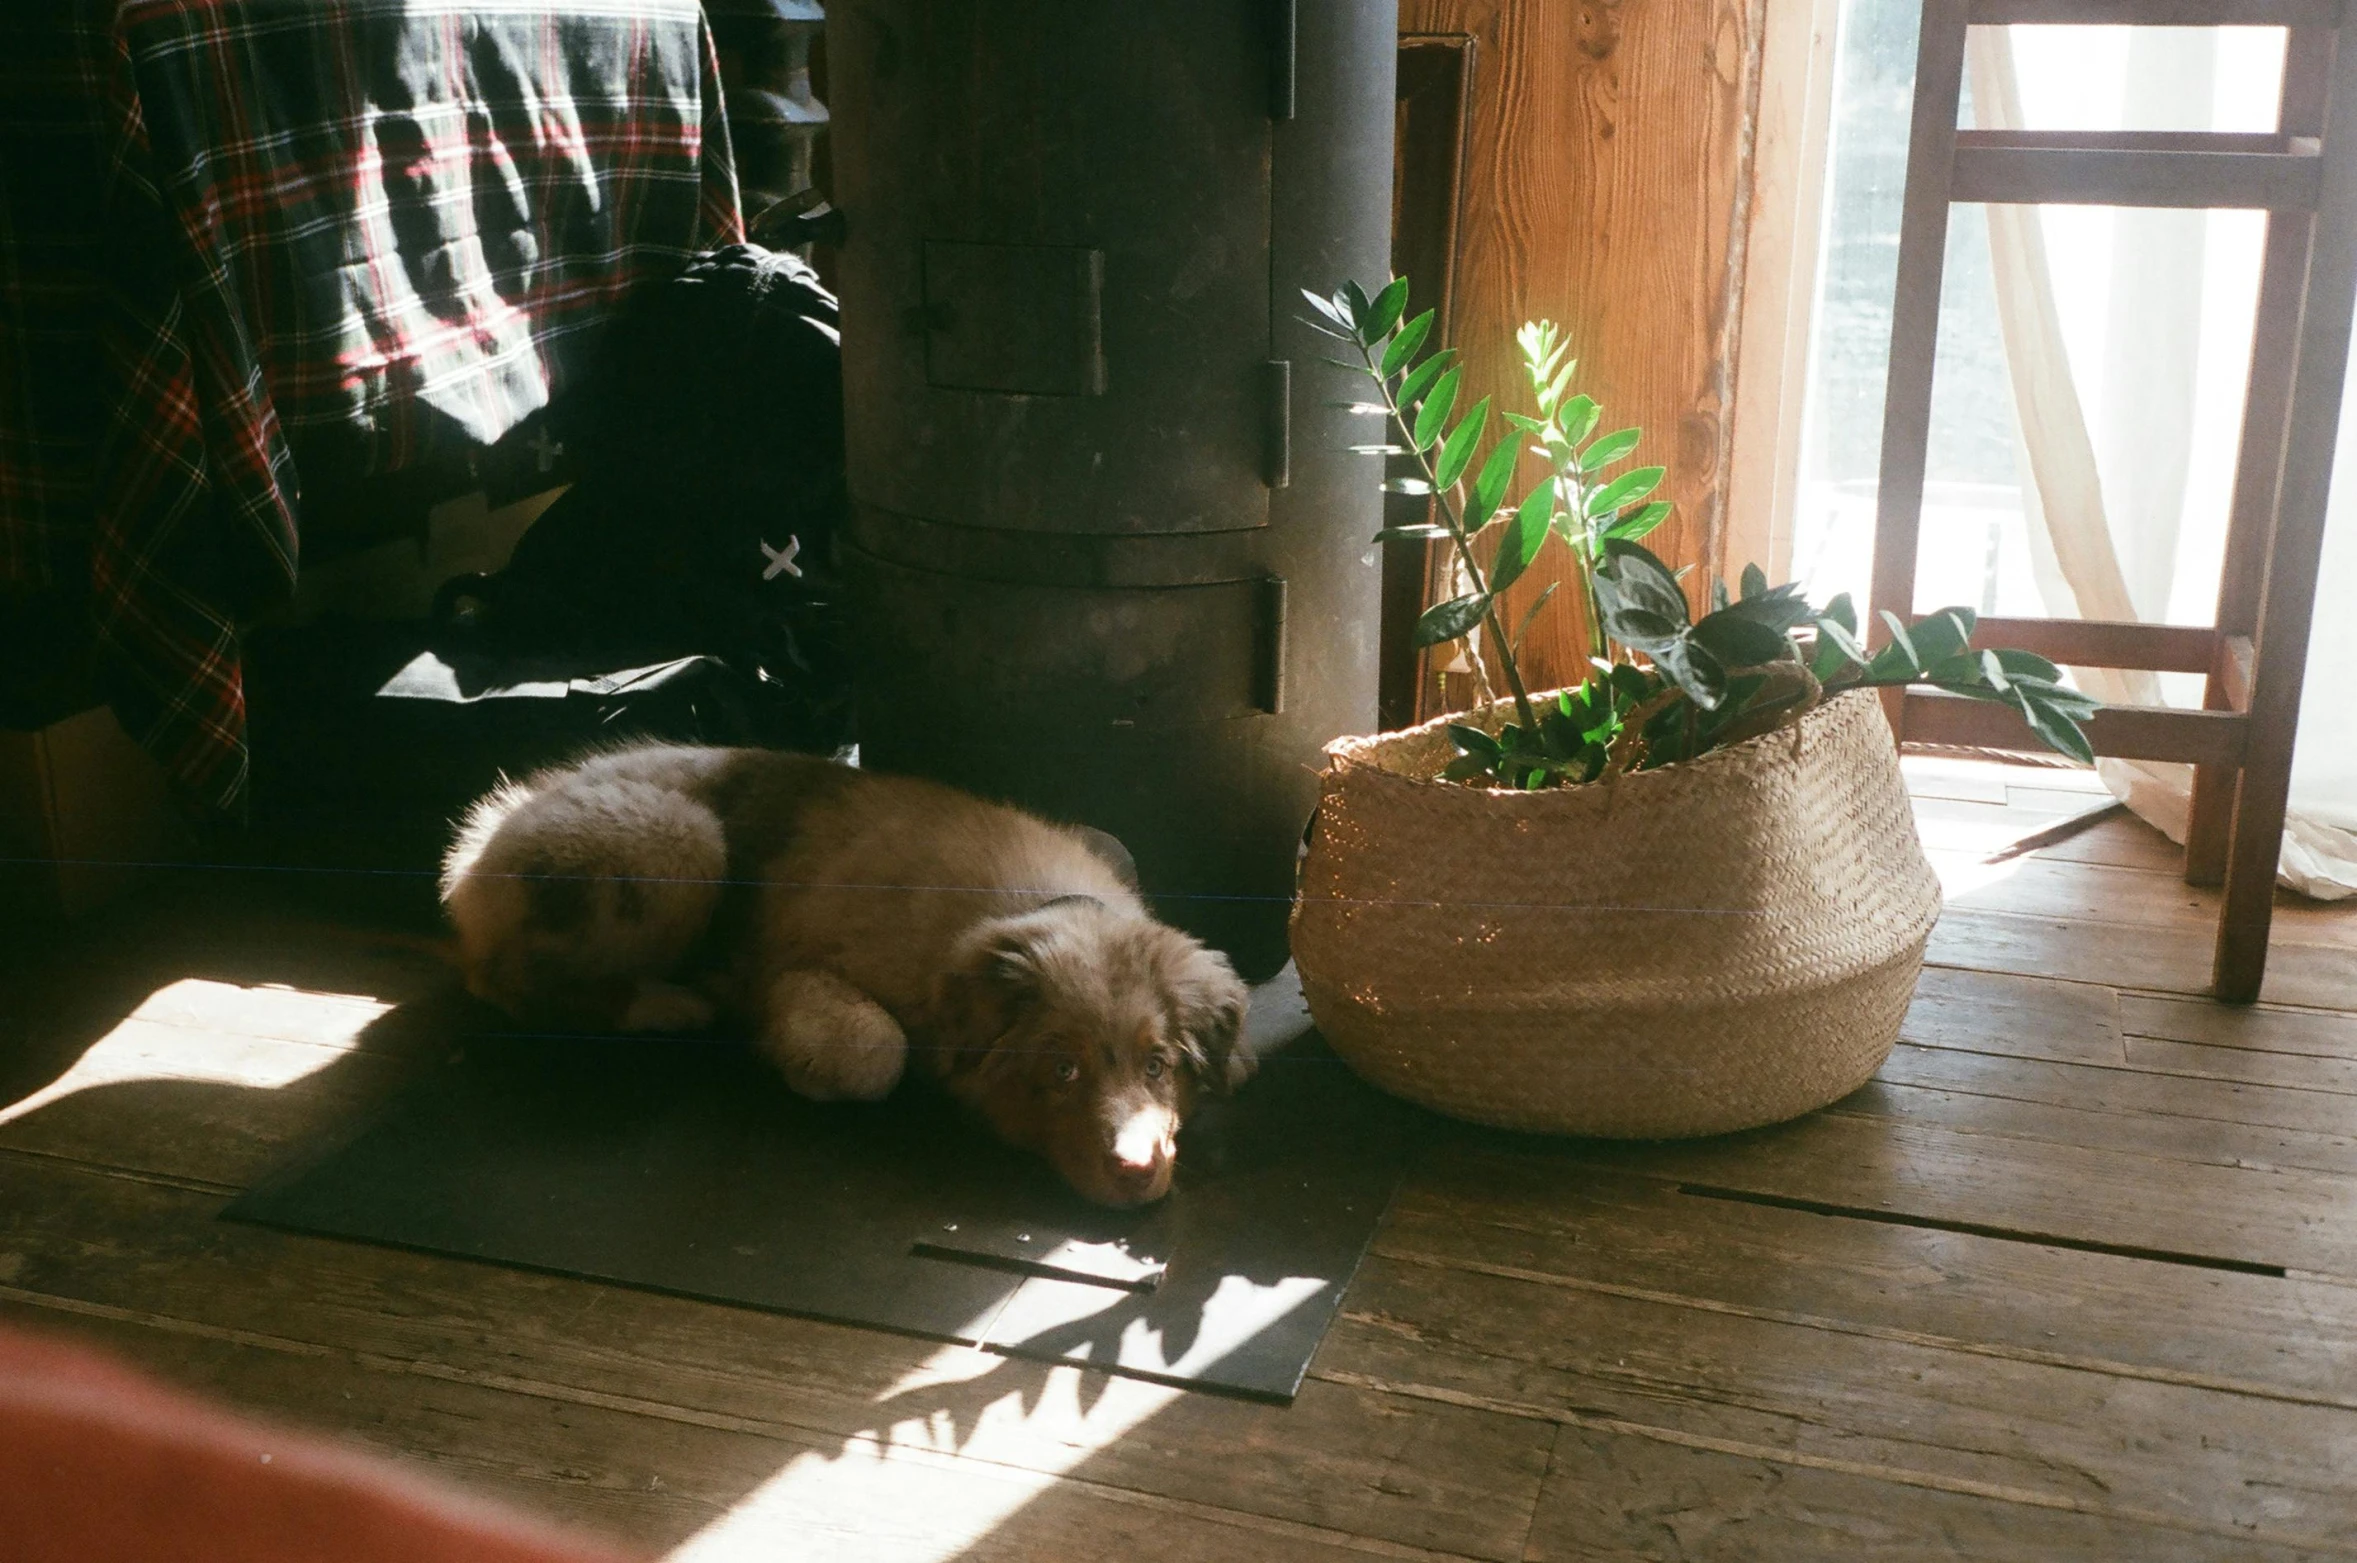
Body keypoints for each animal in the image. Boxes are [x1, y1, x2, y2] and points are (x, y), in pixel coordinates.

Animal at [438, 744, 1253, 1207]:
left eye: (1158, 1066)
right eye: (1062, 1070)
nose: (1136, 1172)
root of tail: (482, 838)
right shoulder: (805, 973)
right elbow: (872, 1051)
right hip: (680, 841)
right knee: (503, 977)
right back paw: (665, 1004)